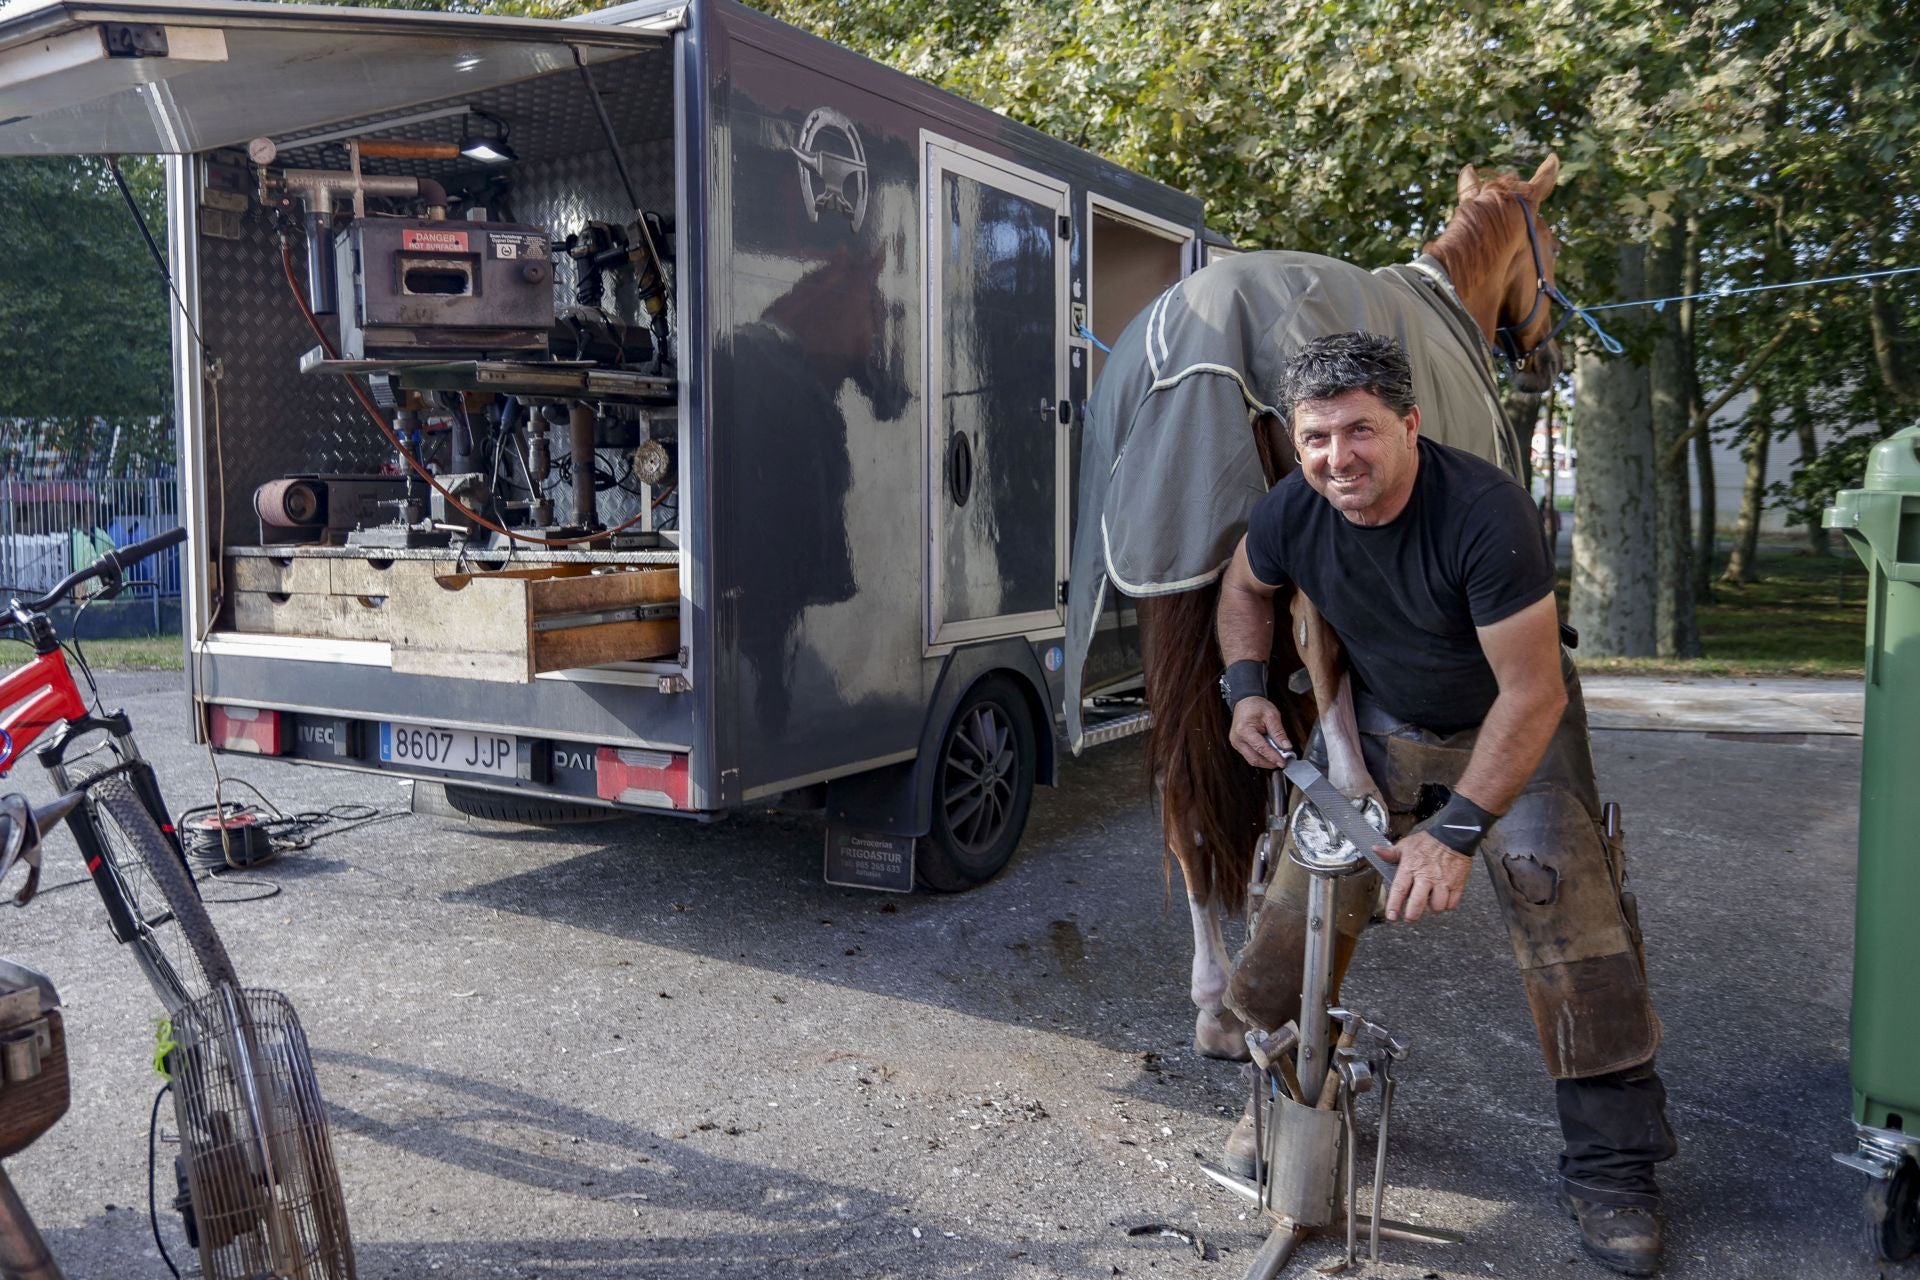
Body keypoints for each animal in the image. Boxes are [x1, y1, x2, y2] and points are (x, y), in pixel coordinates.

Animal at [1128, 160, 1566, 1059]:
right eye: (1553, 237)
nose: (1547, 359)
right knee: (1314, 659)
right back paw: (1349, 802)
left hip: (1174, 569)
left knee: (1188, 800)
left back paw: (1216, 1000)